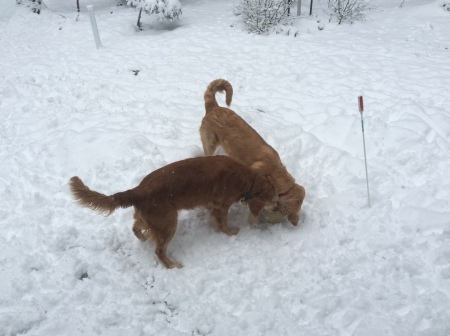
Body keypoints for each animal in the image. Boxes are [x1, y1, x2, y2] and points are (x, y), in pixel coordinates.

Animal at [68, 156, 276, 270]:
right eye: (274, 200)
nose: (277, 208)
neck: (247, 178)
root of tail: (138, 190)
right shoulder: (221, 207)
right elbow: (222, 223)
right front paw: (230, 232)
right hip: (169, 223)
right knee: (159, 250)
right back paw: (172, 265)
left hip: (154, 219)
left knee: (136, 227)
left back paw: (143, 238)